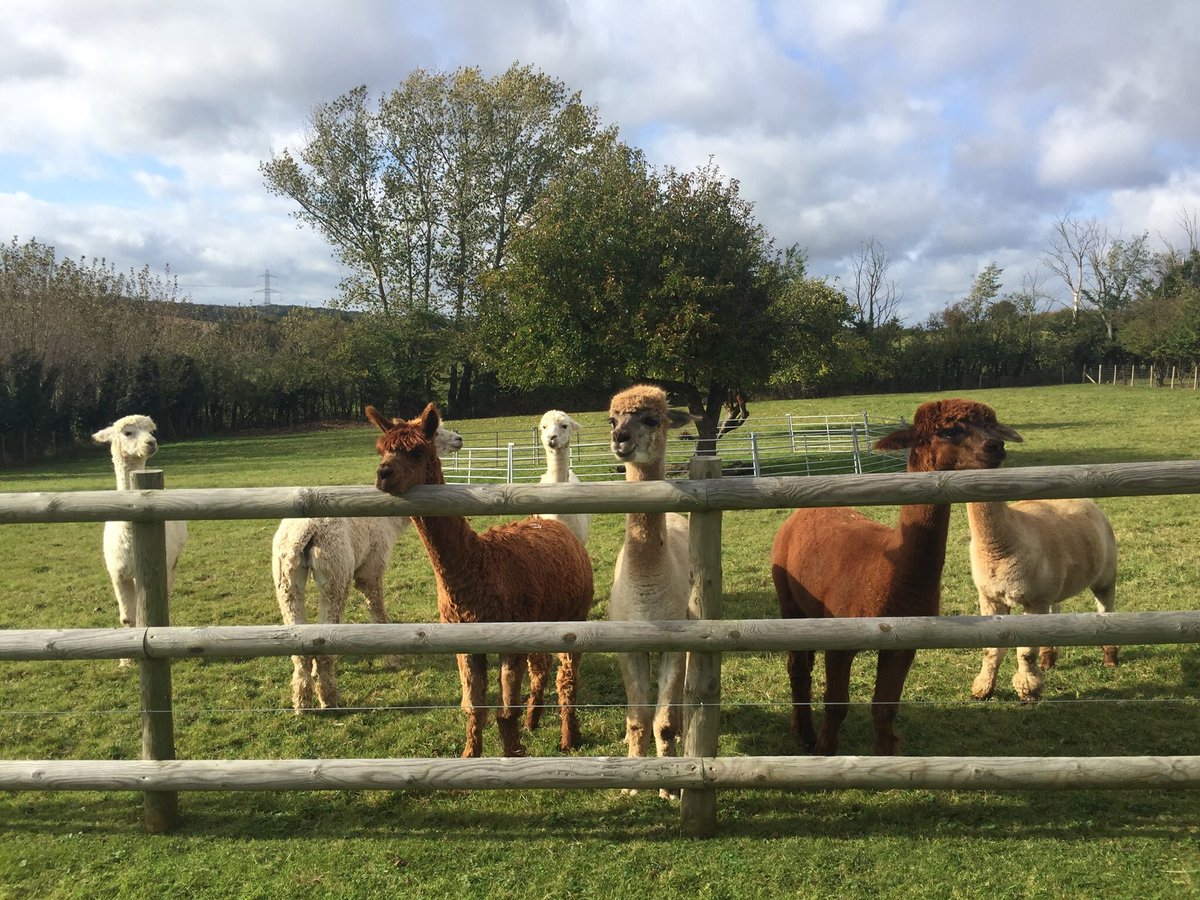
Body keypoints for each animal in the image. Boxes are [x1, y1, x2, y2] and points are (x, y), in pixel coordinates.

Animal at [92, 415, 188, 666]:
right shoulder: (117, 573)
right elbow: (127, 618)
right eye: (127, 432)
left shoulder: (146, 574)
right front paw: (125, 661)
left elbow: (144, 617)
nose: (151, 443)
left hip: (171, 561)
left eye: (151, 431)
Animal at [272, 424, 463, 712]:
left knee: (298, 639)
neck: (390, 521)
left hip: (286, 576)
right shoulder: (372, 567)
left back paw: (302, 702)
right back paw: (328, 698)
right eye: (436, 432)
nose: (459, 439)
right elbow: (378, 612)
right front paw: (393, 659)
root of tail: (304, 530)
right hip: (336, 570)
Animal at [369, 402, 594, 757]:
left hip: (574, 615)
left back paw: (569, 737)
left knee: (567, 677)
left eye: (417, 451)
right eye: (381, 450)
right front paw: (470, 756)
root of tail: (557, 526)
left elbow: (505, 709)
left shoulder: (509, 637)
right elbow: (474, 708)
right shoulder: (466, 640)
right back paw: (533, 719)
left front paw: (512, 753)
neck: (480, 565)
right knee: (542, 665)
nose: (383, 474)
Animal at [771, 398, 1022, 755]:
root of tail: (800, 515)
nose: (995, 446)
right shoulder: (842, 640)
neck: (893, 578)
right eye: (949, 430)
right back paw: (805, 734)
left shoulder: (904, 644)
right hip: (789, 599)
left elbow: (885, 708)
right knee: (797, 667)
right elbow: (837, 704)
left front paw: (884, 757)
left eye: (992, 426)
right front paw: (824, 751)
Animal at [967, 497, 1119, 702]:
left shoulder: (1035, 599)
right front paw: (982, 689)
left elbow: (1026, 652)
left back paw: (1110, 657)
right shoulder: (990, 597)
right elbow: (990, 649)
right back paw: (1048, 659)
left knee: (1106, 605)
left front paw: (1029, 691)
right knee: (1054, 611)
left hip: (1106, 570)